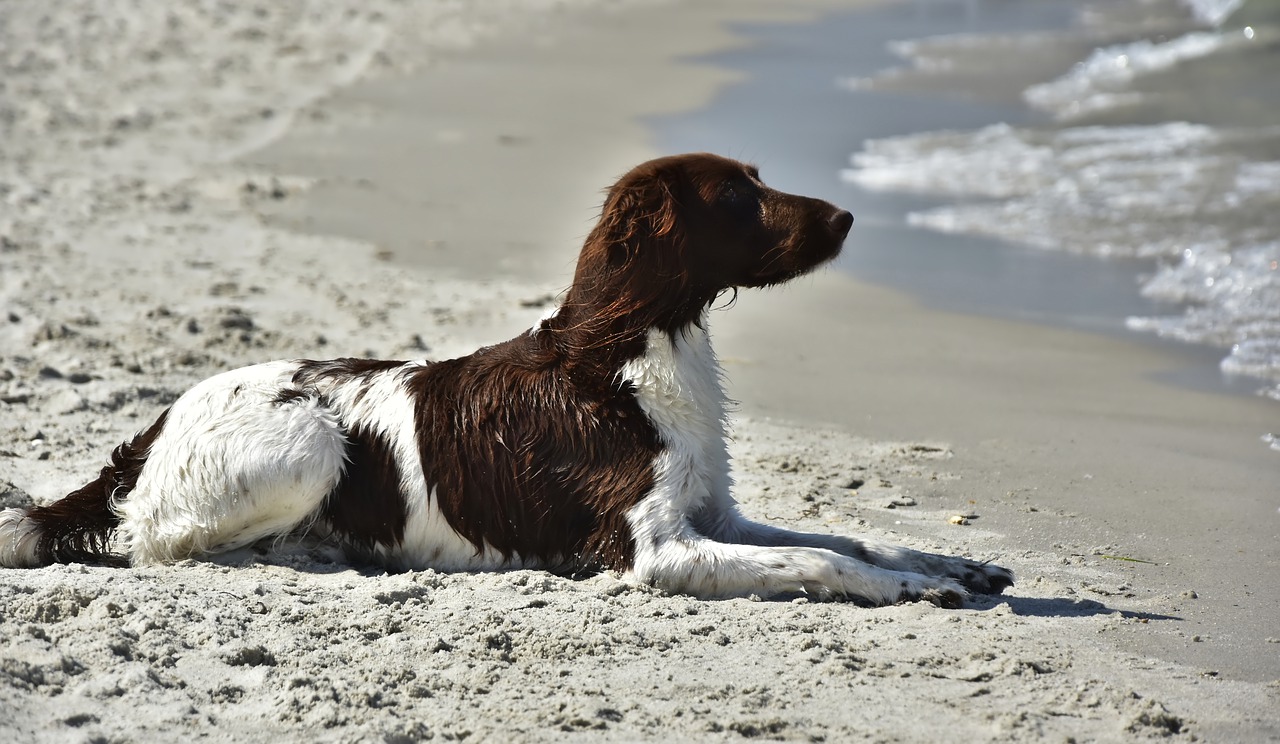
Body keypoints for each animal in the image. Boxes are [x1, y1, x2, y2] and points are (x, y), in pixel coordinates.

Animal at [2, 152, 1018, 604]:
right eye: (738, 196)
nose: (847, 215)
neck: (627, 356)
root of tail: (151, 430)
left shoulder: (714, 515)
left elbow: (849, 536)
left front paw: (947, 564)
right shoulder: (655, 550)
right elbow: (823, 559)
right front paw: (904, 589)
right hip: (309, 438)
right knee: (153, 545)